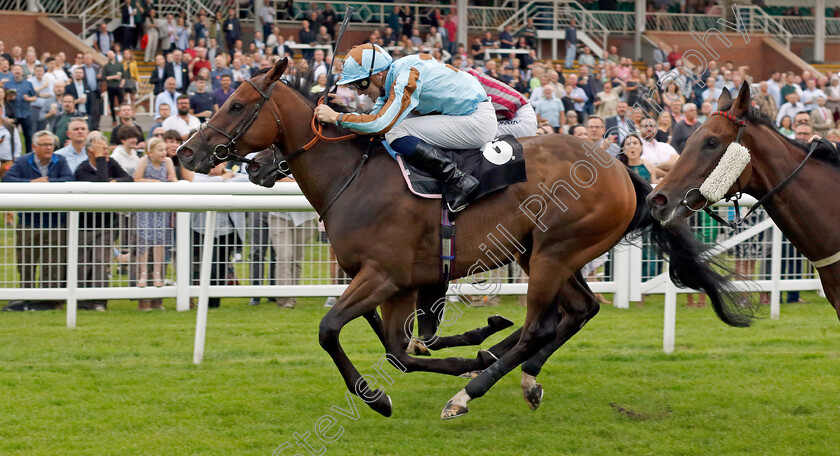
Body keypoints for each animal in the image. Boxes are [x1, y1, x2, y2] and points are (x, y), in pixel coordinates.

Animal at [176, 58, 748, 420]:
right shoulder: (396, 282)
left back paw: (472, 390)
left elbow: (333, 331)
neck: (352, 176)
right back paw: (513, 369)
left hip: (555, 253)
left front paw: (377, 397)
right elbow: (400, 349)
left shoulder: (383, 275)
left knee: (539, 327)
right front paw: (459, 354)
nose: (187, 153)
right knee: (578, 312)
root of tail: (621, 167)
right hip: (547, 253)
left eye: (237, 105)